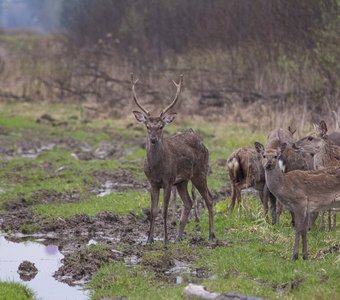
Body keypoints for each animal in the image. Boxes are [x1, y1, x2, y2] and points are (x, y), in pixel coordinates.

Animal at [131, 73, 214, 244]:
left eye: (161, 126)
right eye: (147, 126)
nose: (153, 139)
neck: (156, 168)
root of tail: (202, 143)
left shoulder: (168, 181)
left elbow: (164, 210)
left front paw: (165, 240)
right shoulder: (152, 182)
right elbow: (153, 210)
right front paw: (149, 239)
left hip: (200, 172)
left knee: (209, 199)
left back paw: (211, 235)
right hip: (182, 181)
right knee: (188, 202)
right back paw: (179, 237)